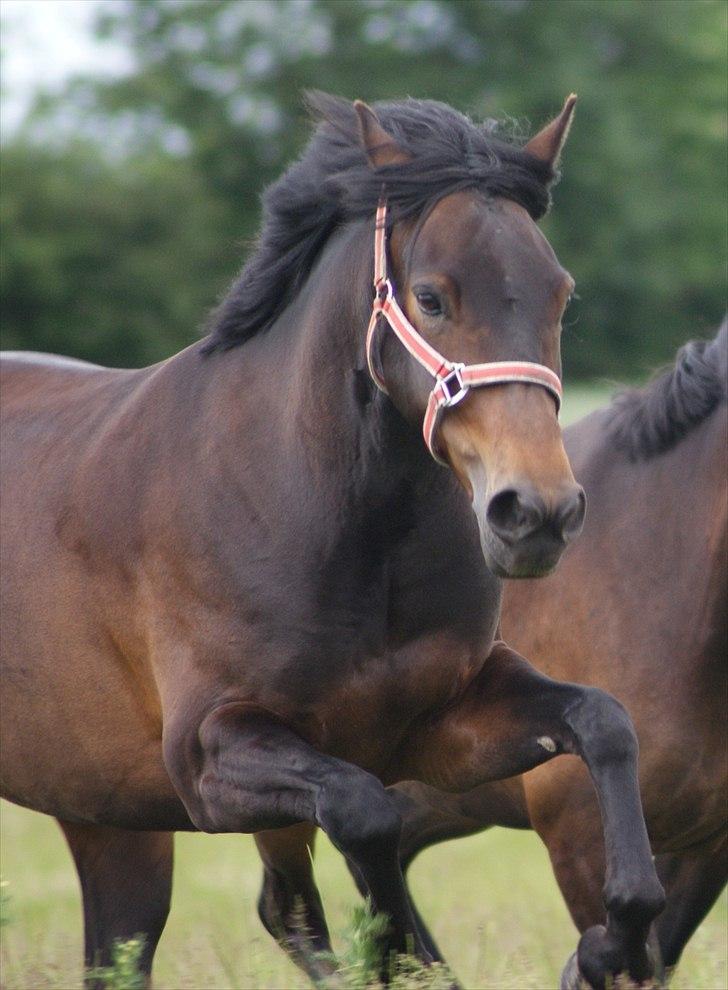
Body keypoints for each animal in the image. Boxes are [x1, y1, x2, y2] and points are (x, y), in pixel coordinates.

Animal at [0, 95, 664, 990]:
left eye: (560, 297)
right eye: (432, 297)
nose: (537, 514)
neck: (335, 525)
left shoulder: (441, 723)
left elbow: (603, 721)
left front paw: (615, 940)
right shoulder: (211, 758)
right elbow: (363, 819)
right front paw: (394, 949)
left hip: (109, 822)